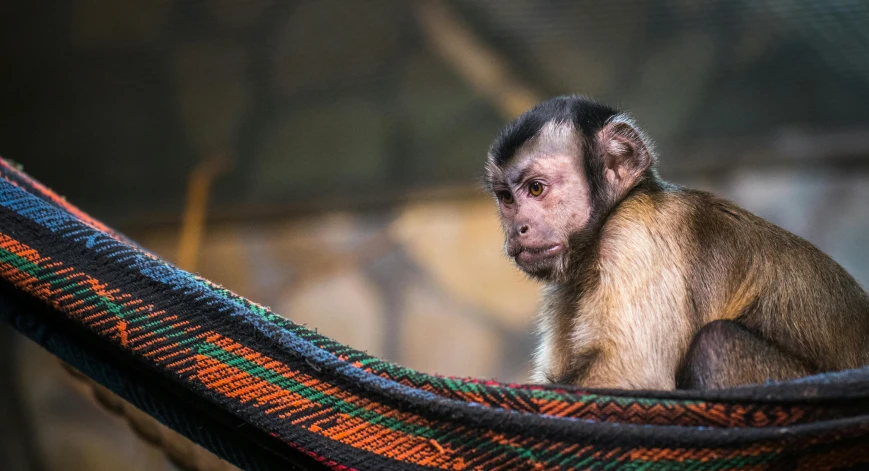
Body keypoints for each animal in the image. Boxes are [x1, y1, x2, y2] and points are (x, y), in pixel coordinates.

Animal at [484, 96, 868, 390]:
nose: (518, 228)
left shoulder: (636, 232)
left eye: (536, 188)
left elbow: (632, 375)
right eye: (506, 198)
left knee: (716, 344)